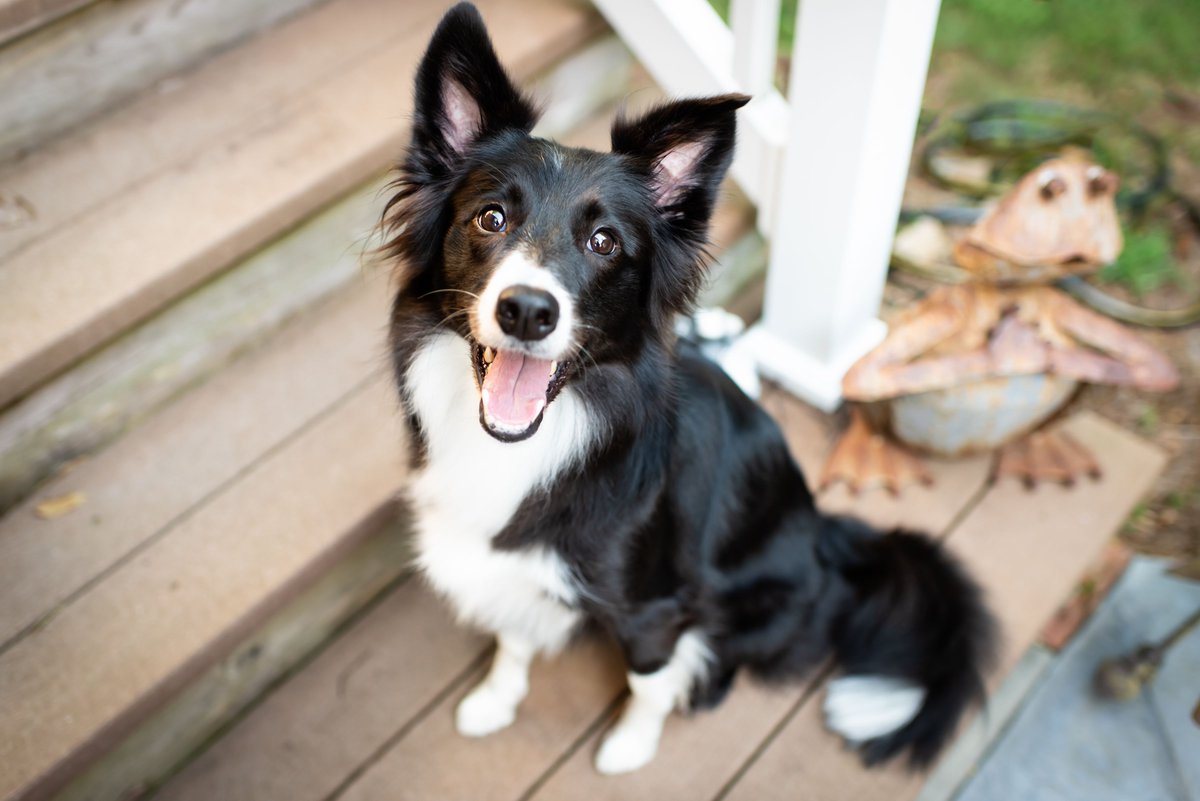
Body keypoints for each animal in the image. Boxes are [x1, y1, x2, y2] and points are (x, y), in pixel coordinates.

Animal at [384, 1, 993, 777]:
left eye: (605, 242)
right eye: (491, 218)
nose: (526, 310)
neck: (540, 441)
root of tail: (829, 535)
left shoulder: (657, 604)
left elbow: (647, 678)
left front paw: (630, 745)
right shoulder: (512, 565)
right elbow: (513, 632)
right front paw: (495, 698)